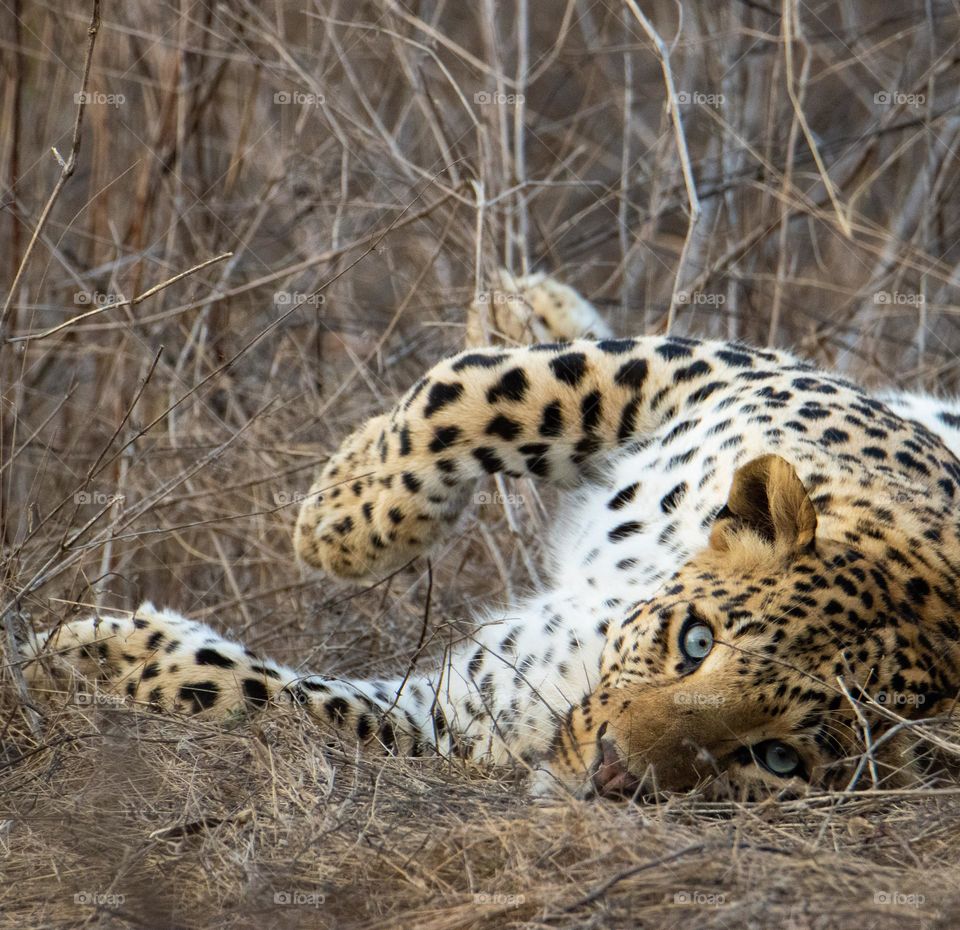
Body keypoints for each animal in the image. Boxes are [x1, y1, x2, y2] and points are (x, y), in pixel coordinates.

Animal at [22, 273, 960, 801]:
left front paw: (92, 657)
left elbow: (272, 699)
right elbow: (472, 393)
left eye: (778, 762)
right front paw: (338, 522)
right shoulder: (714, 376)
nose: (612, 774)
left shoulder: (462, 708)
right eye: (697, 641)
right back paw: (522, 304)